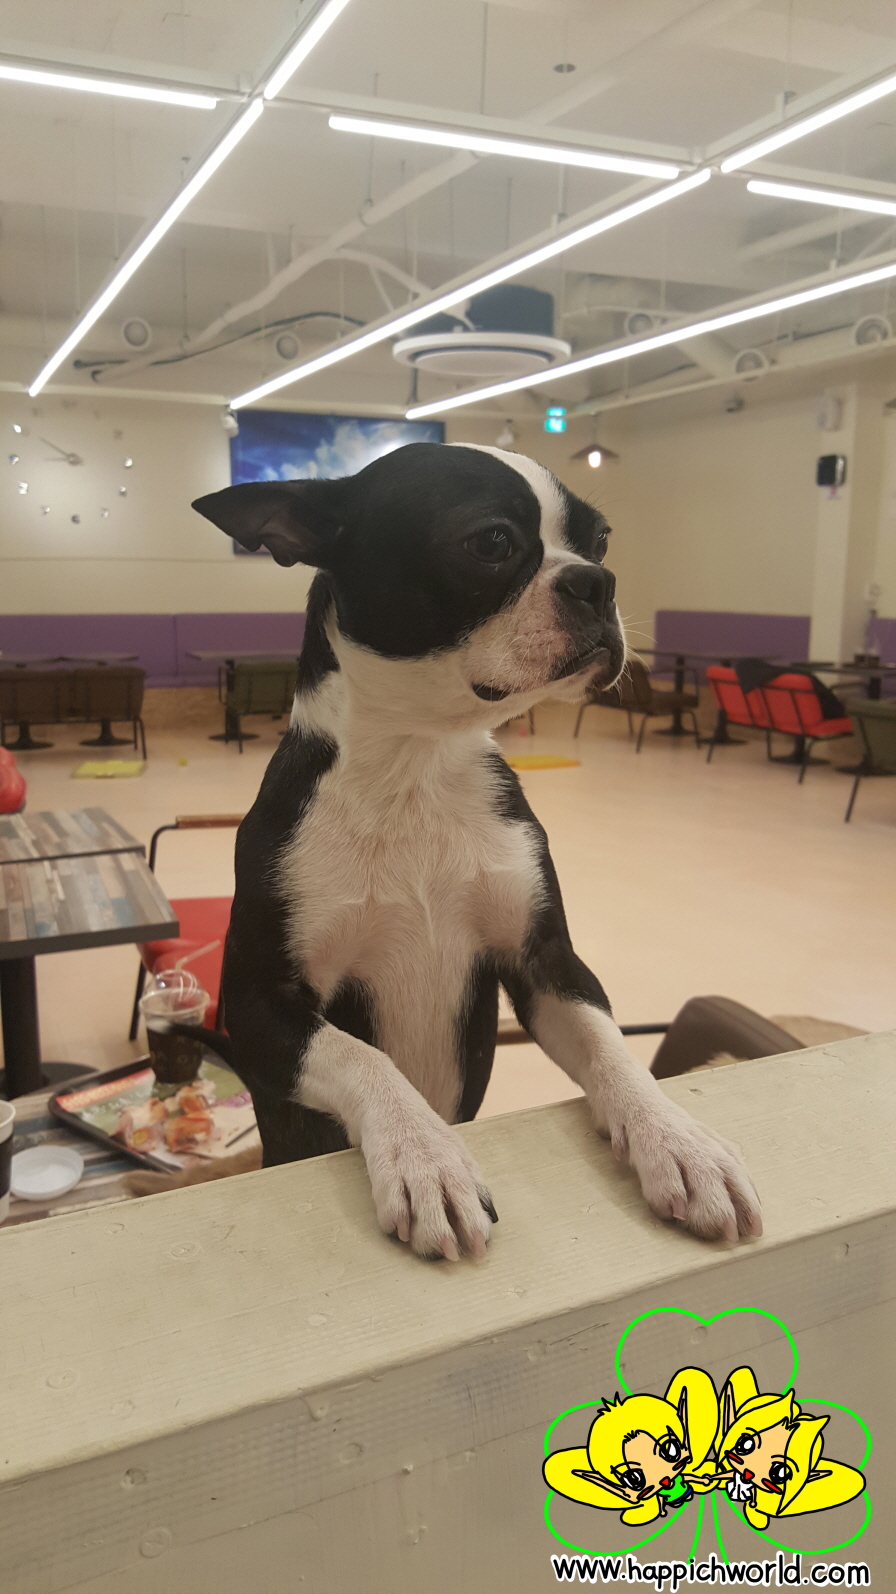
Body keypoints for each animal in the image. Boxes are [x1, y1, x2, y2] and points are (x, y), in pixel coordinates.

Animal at [180, 443, 760, 1259]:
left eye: (601, 540)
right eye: (490, 543)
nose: (599, 580)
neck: (416, 763)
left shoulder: (548, 966)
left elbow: (612, 1050)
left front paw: (677, 1140)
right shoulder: (258, 1007)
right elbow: (364, 1056)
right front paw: (425, 1157)